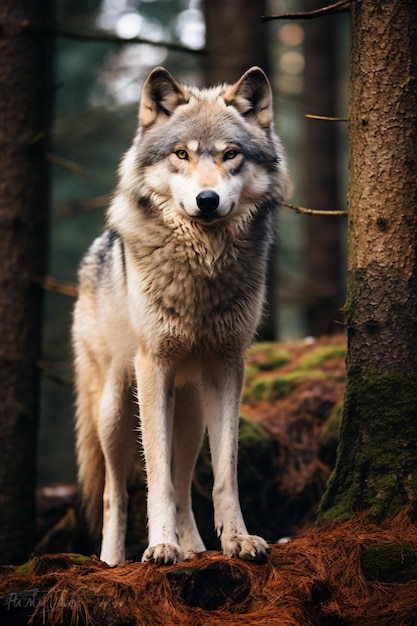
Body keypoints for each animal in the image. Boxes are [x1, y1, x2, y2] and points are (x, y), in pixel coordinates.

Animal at [73, 64, 288, 564]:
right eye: (181, 154)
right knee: (116, 491)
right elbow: (155, 478)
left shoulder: (229, 366)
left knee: (185, 479)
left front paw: (237, 540)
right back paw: (114, 559)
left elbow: (223, 473)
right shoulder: (154, 368)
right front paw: (161, 547)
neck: (202, 269)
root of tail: (96, 249)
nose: (207, 199)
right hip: (115, 407)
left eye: (230, 154)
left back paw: (195, 549)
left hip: (190, 408)